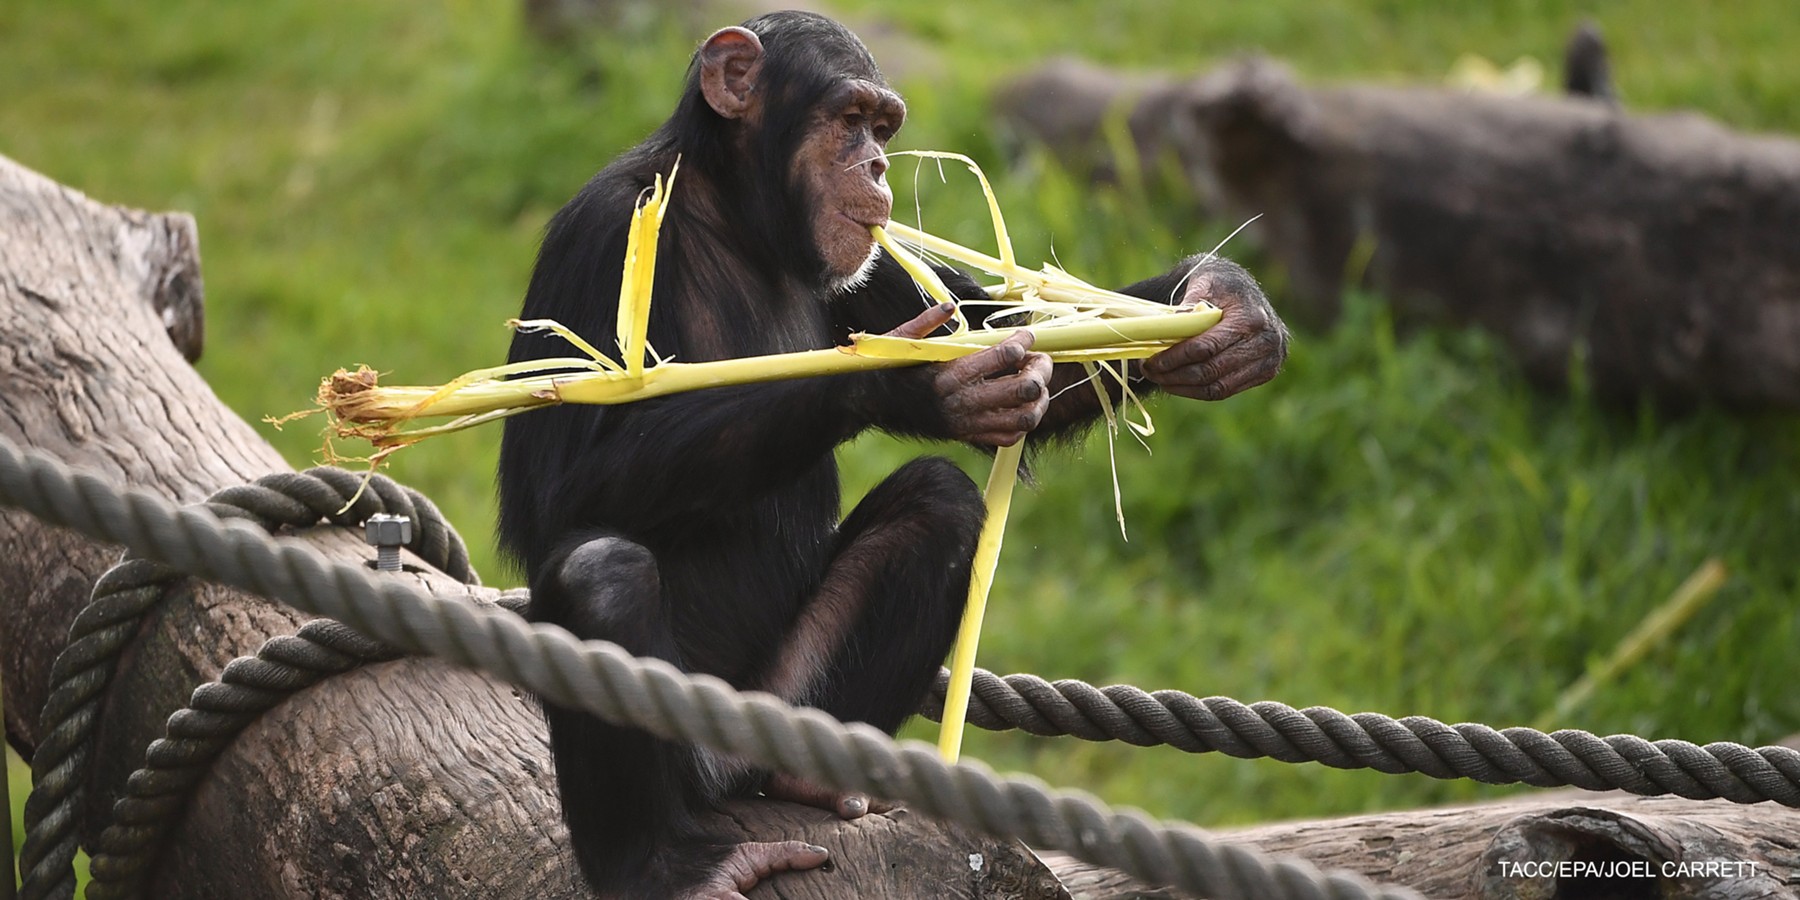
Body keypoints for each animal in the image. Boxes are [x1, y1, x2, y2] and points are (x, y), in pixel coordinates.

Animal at [500, 8, 1288, 900]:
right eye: (849, 119)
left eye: (883, 129)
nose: (876, 165)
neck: (735, 216)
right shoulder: (601, 238)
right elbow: (559, 482)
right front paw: (906, 381)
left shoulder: (870, 264)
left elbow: (1007, 326)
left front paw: (1225, 306)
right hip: (698, 750)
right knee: (599, 574)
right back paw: (668, 866)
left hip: (778, 708)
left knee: (938, 506)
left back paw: (814, 775)